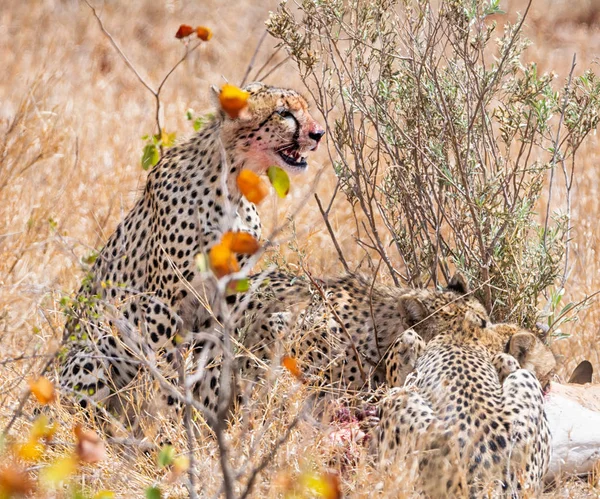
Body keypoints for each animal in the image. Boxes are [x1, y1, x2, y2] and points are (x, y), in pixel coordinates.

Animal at [57, 83, 324, 422]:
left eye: (306, 109)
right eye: (284, 113)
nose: (319, 133)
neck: (232, 183)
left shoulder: (223, 298)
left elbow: (212, 364)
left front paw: (208, 419)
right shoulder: (163, 301)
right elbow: (166, 367)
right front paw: (169, 420)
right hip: (96, 353)